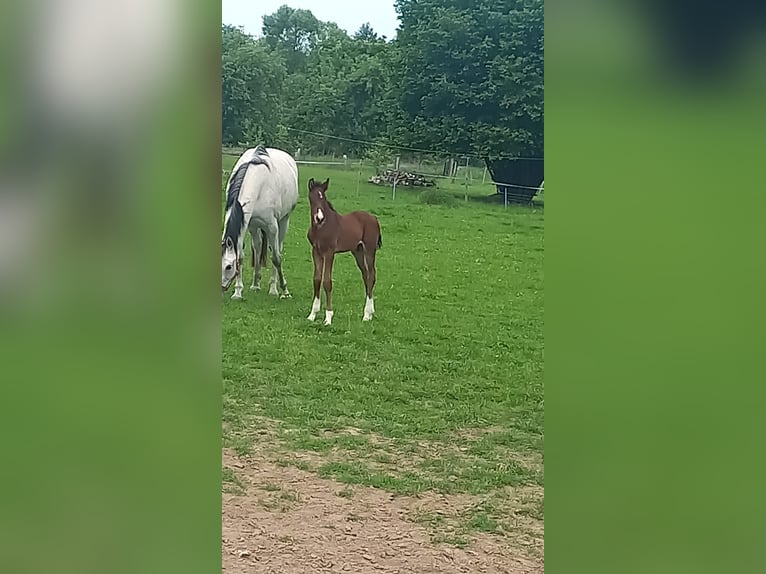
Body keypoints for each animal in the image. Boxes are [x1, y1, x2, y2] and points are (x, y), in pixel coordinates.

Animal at [222, 145, 300, 302]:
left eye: (228, 267)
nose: (221, 288)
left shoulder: (272, 227)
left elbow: (276, 258)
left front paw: (283, 290)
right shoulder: (246, 224)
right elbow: (240, 256)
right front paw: (238, 292)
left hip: (284, 221)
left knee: (278, 249)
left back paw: (274, 287)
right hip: (254, 226)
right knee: (257, 248)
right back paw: (255, 284)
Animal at [304, 178, 380, 326]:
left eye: (323, 197)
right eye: (312, 198)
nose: (319, 218)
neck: (322, 227)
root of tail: (374, 218)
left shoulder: (329, 253)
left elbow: (327, 282)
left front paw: (328, 318)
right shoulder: (316, 252)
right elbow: (317, 279)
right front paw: (312, 315)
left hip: (369, 250)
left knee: (371, 276)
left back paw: (366, 315)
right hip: (358, 251)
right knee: (366, 276)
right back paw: (371, 312)